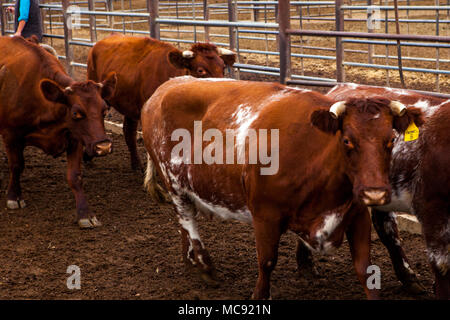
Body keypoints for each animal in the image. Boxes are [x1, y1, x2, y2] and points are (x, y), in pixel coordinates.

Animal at [0, 36, 118, 229]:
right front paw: (14, 196)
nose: (104, 147)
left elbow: (75, 176)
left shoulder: (75, 138)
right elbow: (16, 165)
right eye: (76, 113)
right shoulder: (11, 135)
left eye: (105, 109)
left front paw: (85, 214)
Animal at [141, 77, 422, 300]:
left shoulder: (357, 215)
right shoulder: (265, 214)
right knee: (186, 218)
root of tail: (166, 86)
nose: (375, 193)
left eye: (391, 139)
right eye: (346, 140)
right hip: (173, 181)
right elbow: (266, 261)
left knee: (183, 222)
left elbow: (365, 269)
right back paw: (202, 263)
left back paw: (188, 259)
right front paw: (259, 294)